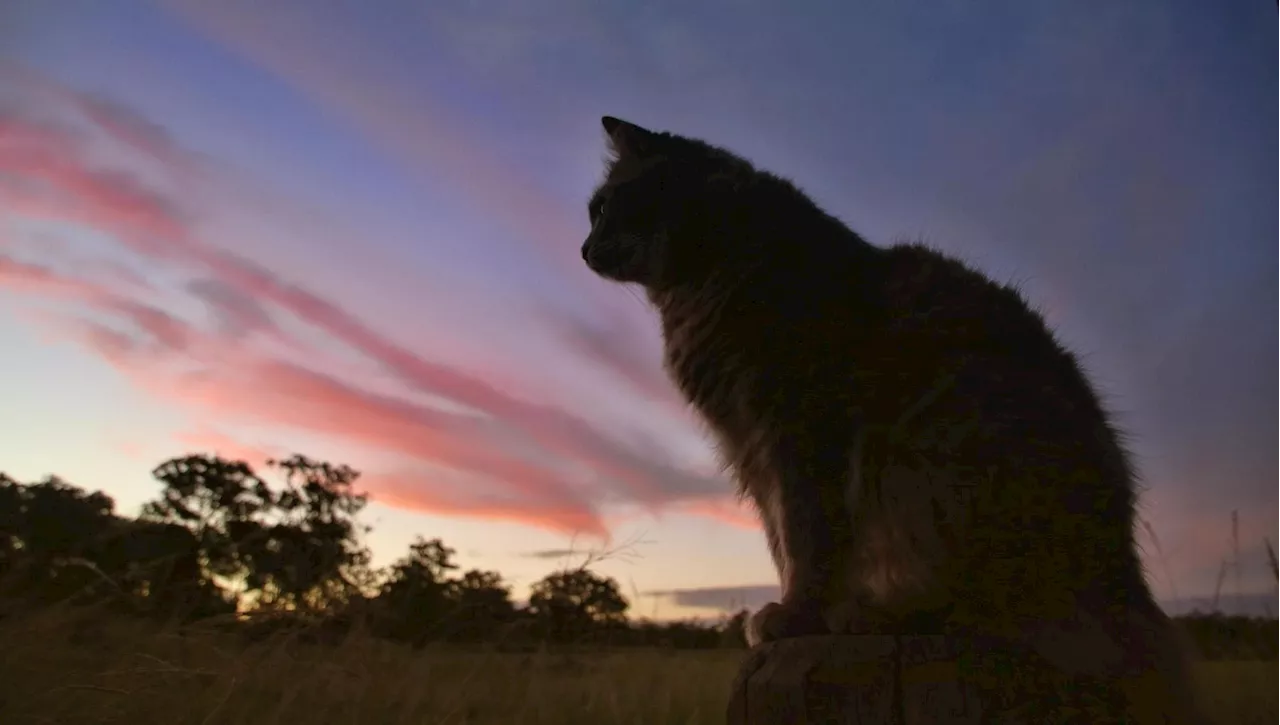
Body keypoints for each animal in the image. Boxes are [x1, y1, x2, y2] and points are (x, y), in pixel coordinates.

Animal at [586, 116, 1203, 722]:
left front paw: (797, 615)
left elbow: (807, 536)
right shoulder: (749, 448)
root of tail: (1125, 577)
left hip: (941, 451)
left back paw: (871, 613)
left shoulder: (795, 428)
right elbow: (780, 539)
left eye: (603, 206)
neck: (702, 278)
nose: (584, 247)